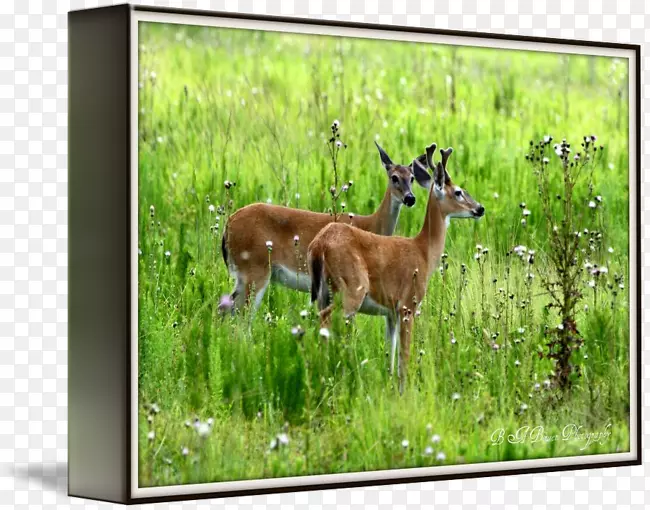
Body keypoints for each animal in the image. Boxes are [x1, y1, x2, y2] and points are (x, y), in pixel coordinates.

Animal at [220, 141, 432, 312]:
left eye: (412, 178)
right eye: (394, 177)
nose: (410, 198)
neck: (372, 225)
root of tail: (228, 226)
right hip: (255, 267)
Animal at [306, 141, 484, 388]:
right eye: (458, 191)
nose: (480, 208)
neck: (423, 252)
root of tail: (318, 245)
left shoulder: (390, 312)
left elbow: (390, 355)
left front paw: (390, 385)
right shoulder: (408, 304)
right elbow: (404, 356)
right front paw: (404, 388)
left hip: (323, 291)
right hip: (351, 288)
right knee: (326, 319)